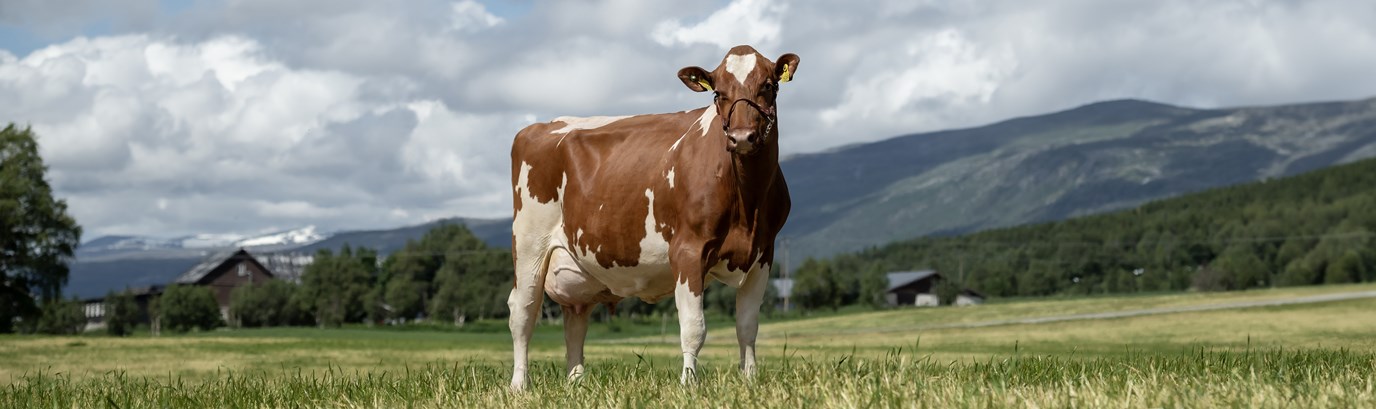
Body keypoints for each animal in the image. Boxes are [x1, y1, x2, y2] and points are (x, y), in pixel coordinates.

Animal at [511, 45, 803, 388]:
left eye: (768, 86)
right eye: (718, 93)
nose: (742, 137)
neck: (747, 203)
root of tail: (539, 126)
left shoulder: (763, 254)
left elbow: (747, 327)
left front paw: (750, 381)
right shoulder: (688, 250)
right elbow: (693, 327)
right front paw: (688, 383)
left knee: (576, 319)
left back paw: (577, 383)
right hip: (529, 243)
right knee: (523, 311)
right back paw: (519, 384)